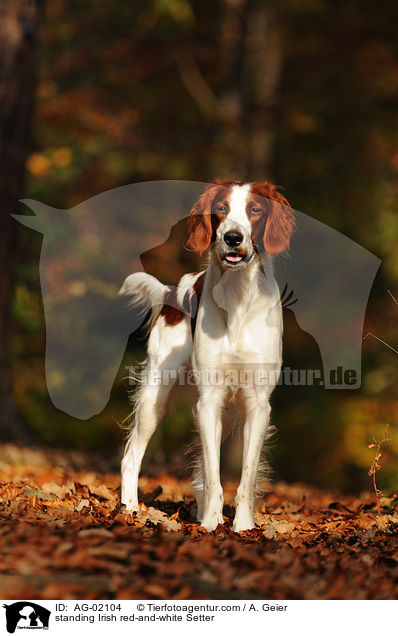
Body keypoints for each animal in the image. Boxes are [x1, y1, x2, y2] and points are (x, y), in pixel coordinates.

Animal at [119, 183, 294, 532]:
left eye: (256, 210)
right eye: (222, 209)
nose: (233, 237)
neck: (238, 299)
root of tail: (171, 293)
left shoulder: (257, 403)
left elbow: (245, 475)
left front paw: (242, 527)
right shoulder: (209, 399)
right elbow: (214, 474)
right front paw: (212, 526)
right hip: (157, 395)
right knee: (131, 456)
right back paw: (130, 507)